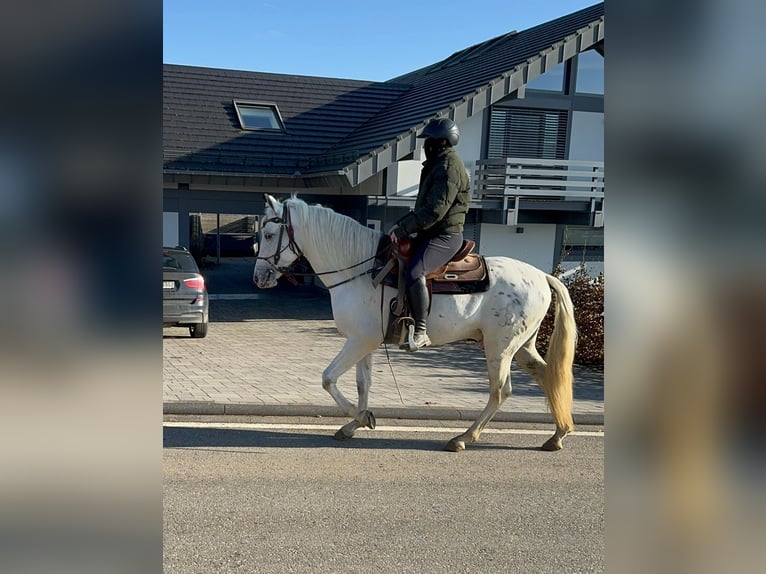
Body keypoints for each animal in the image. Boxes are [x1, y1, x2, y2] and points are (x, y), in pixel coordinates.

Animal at [255, 196, 580, 452]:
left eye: (269, 234)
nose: (259, 277)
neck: (362, 270)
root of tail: (541, 276)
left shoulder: (359, 342)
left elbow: (328, 378)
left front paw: (359, 418)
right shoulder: (364, 342)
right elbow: (363, 385)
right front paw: (356, 423)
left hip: (500, 348)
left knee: (500, 391)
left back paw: (463, 438)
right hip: (522, 346)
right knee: (548, 376)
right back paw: (557, 435)